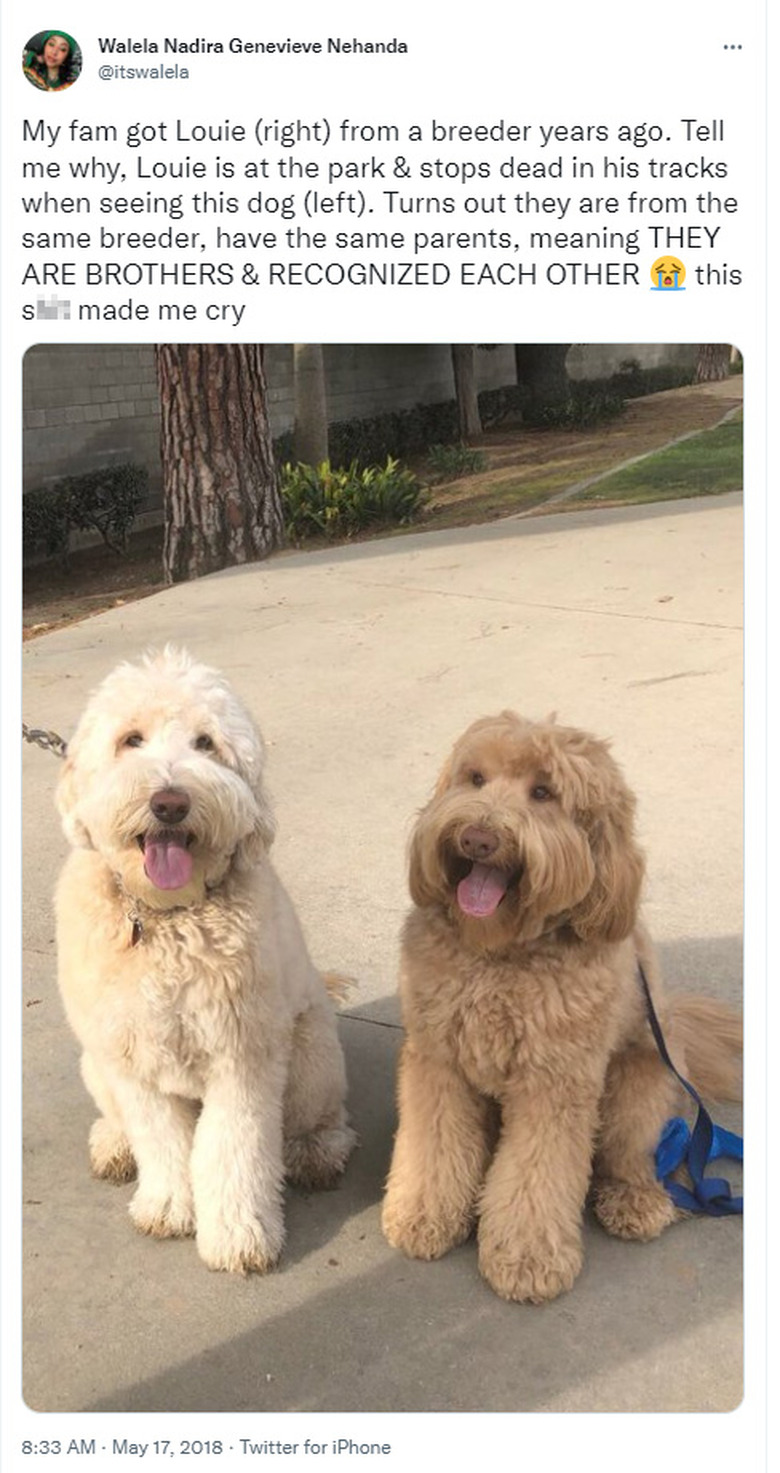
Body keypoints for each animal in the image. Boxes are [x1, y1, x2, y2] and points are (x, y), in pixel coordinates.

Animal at [55, 651, 354, 1272]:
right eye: (131, 740)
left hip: (311, 1054)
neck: (166, 919)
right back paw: (114, 1144)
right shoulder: (130, 1056)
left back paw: (315, 1151)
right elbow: (159, 1137)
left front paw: (238, 1234)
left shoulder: (242, 1053)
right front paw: (168, 1206)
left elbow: (233, 1147)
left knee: (321, 1119)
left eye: (205, 743)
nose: (170, 802)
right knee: (121, 1120)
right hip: (95, 1065)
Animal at [379, 712, 738, 1302]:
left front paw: (526, 1257)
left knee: (644, 1161)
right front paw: (423, 1214)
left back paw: (637, 1200)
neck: (500, 954)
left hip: (636, 1093)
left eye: (543, 793)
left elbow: (536, 1176)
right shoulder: (437, 1062)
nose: (478, 837)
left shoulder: (554, 1083)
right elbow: (433, 1144)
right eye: (475, 779)